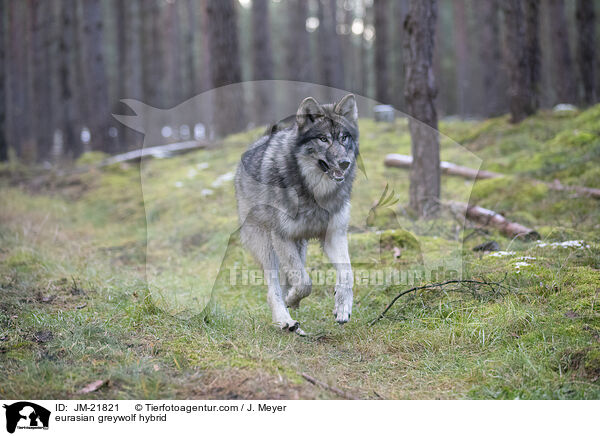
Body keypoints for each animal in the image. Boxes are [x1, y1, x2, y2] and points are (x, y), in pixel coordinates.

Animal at [234, 94, 358, 334]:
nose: (345, 163)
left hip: (299, 247)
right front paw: (292, 300)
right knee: (272, 289)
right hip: (267, 244)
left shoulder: (334, 235)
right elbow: (304, 283)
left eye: (344, 138)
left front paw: (343, 308)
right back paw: (285, 320)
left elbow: (347, 274)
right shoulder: (282, 237)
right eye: (323, 139)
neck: (315, 193)